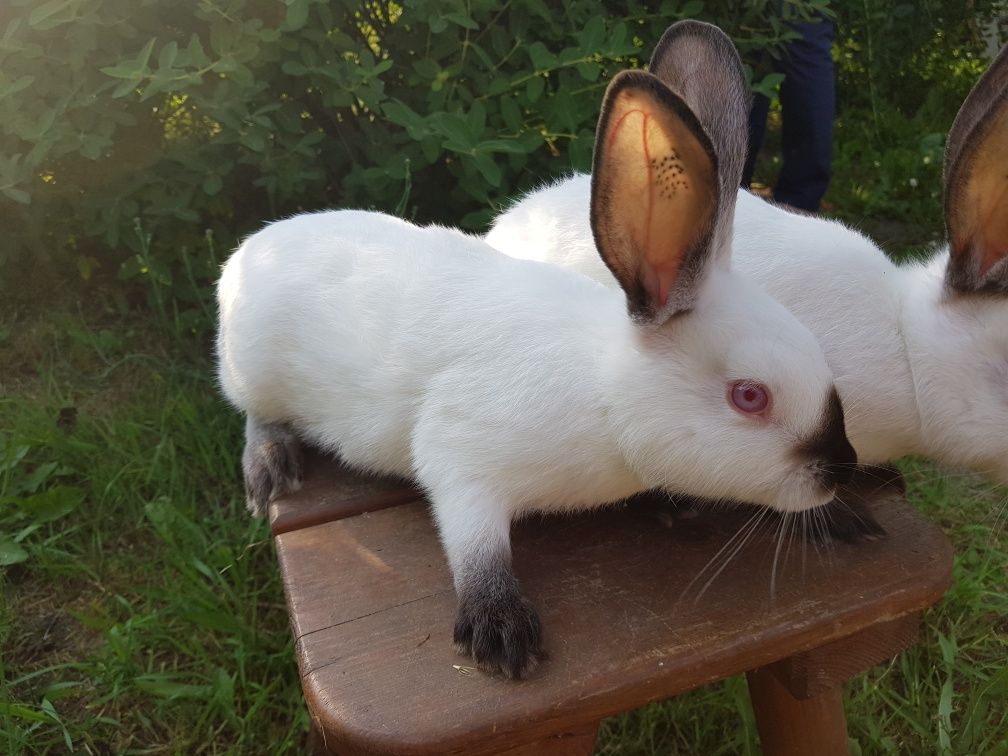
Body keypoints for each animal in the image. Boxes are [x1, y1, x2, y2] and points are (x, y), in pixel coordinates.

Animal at [216, 57, 854, 681]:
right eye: (750, 396)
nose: (840, 471)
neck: (605, 395)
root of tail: (251, 248)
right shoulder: (460, 456)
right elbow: (473, 538)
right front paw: (501, 630)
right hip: (251, 371)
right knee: (255, 416)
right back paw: (270, 468)